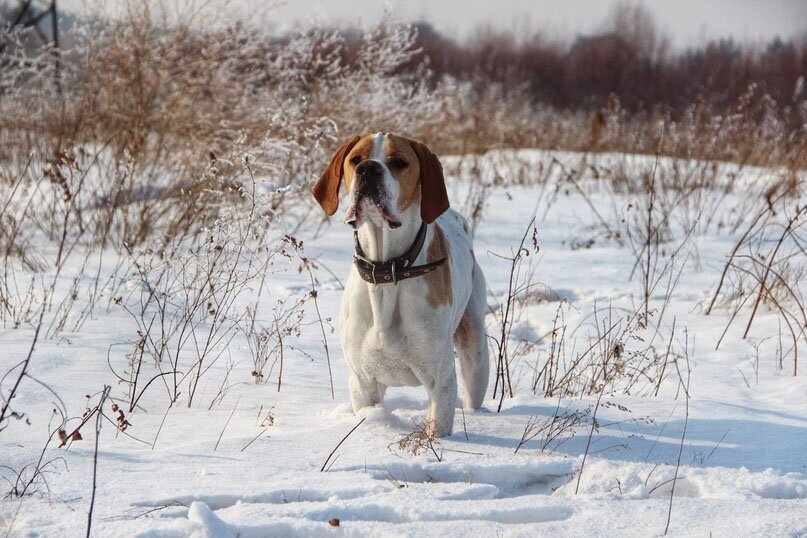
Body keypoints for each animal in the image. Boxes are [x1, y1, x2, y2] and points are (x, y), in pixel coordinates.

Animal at [314, 131, 492, 436]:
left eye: (399, 162)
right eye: (356, 159)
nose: (368, 169)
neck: (389, 270)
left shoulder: (441, 380)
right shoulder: (363, 382)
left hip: (476, 353)